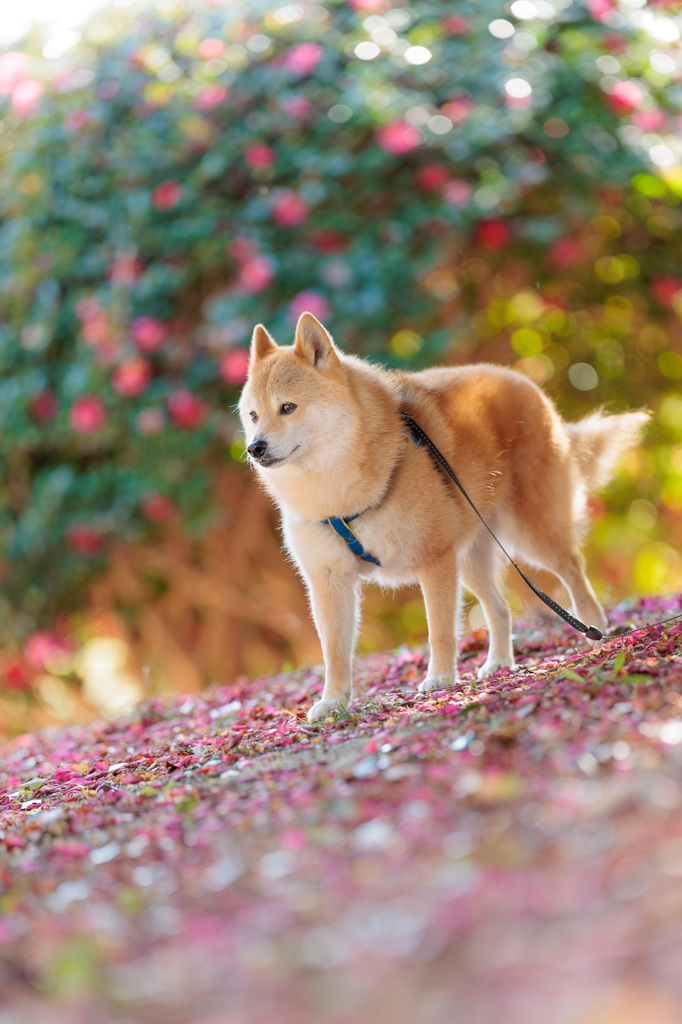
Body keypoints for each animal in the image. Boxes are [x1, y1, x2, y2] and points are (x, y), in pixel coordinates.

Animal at [240, 311, 647, 720]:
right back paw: (499, 663)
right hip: (470, 558)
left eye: (287, 408)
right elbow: (335, 652)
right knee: (500, 608)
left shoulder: (434, 562)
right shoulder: (329, 581)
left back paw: (594, 629)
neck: (338, 496)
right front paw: (334, 701)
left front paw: (439, 678)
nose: (254, 448)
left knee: (574, 572)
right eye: (253, 415)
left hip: (530, 536)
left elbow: (439, 629)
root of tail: (525, 383)